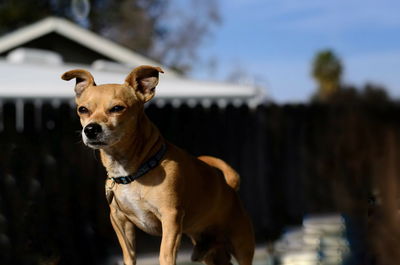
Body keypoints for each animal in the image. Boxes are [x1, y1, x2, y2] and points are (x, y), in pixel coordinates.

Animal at [61, 65, 255, 264]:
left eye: (117, 108)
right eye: (82, 109)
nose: (90, 129)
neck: (132, 171)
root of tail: (230, 188)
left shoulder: (171, 218)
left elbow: (165, 254)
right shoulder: (120, 221)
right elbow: (129, 255)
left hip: (242, 246)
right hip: (211, 254)